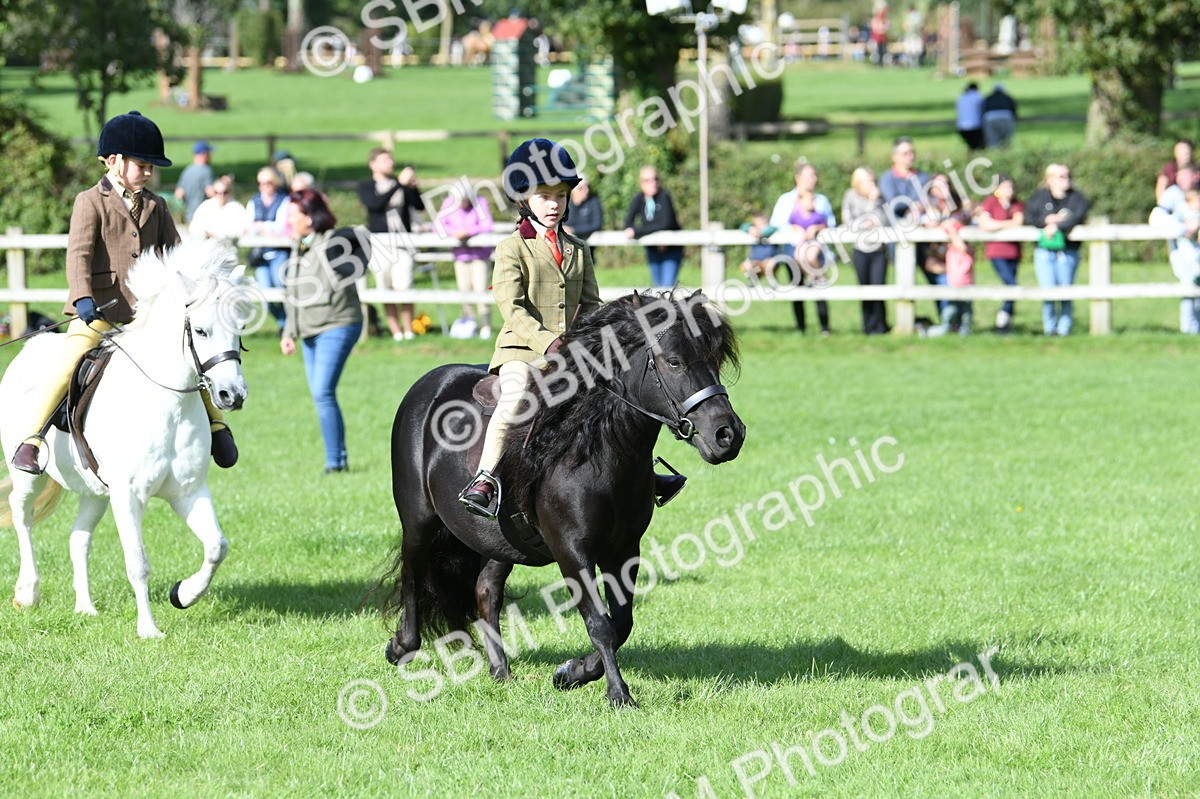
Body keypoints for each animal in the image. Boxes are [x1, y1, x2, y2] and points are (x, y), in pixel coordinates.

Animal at [0, 239, 252, 639]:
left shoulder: (188, 491)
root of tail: (28, 349)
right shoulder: (129, 495)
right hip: (28, 476)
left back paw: (85, 607)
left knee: (78, 537)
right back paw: (28, 592)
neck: (167, 403)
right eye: (200, 331)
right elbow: (137, 563)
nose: (232, 395)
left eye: (239, 327)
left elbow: (216, 547)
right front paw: (148, 629)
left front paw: (183, 594)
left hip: (95, 491)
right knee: (22, 517)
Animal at [380, 292, 746, 706]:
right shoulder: (572, 550)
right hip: (419, 520)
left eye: (715, 361)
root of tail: (431, 383)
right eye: (674, 362)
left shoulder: (624, 549)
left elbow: (621, 623)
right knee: (413, 574)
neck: (596, 450)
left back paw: (500, 671)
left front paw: (572, 672)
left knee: (486, 591)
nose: (728, 435)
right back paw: (402, 646)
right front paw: (618, 694)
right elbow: (600, 623)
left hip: (500, 541)